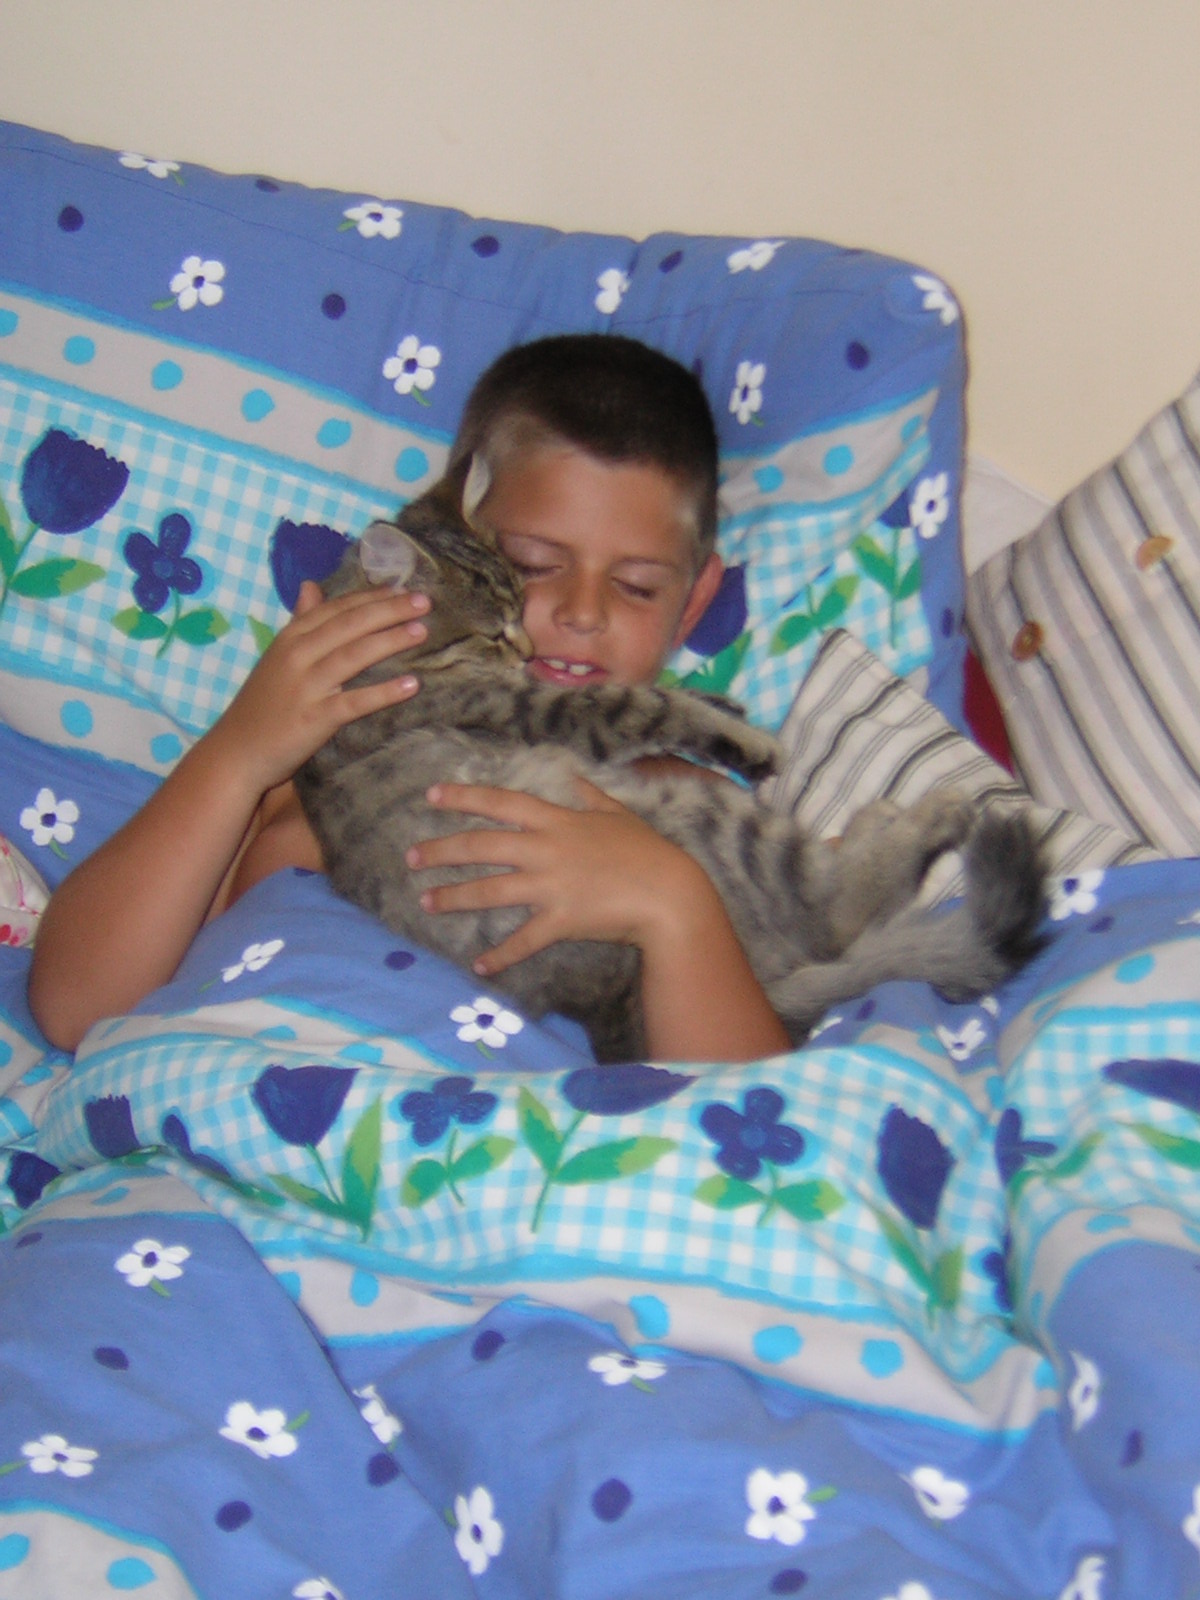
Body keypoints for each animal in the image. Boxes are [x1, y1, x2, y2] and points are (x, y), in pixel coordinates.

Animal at [295, 481, 1046, 1063]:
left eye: (524, 600)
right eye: (492, 631)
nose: (530, 648)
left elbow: (673, 694)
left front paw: (726, 706)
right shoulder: (540, 709)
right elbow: (650, 704)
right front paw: (748, 737)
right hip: (703, 823)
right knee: (832, 913)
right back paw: (927, 816)